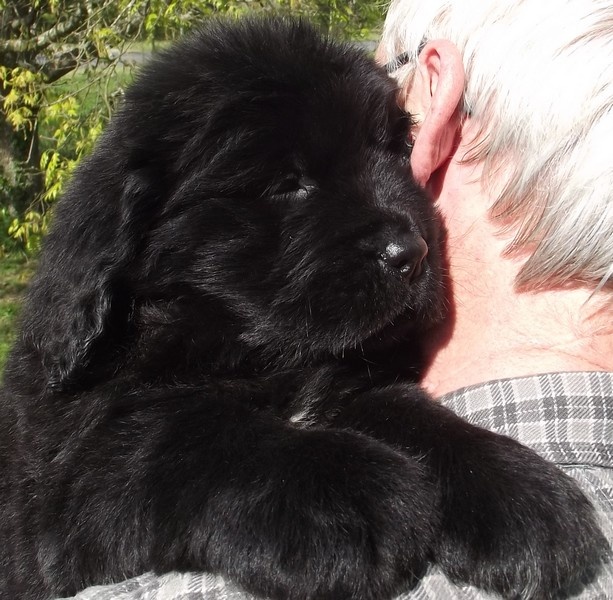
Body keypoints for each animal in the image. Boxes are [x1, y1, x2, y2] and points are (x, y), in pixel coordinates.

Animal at [0, 17, 607, 600]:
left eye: (396, 152)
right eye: (289, 183)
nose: (410, 253)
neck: (258, 351)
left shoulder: (350, 383)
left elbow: (409, 410)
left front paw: (519, 490)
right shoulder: (67, 482)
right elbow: (181, 432)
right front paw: (349, 494)